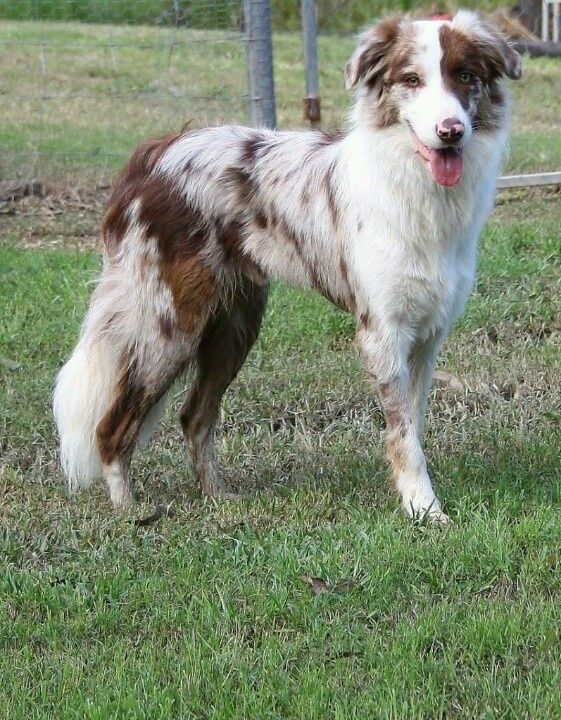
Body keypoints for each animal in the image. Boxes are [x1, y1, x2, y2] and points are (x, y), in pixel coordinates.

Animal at [53, 8, 520, 520]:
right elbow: (402, 434)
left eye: (466, 77)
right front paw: (423, 509)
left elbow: (413, 425)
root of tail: (155, 152)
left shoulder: (429, 334)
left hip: (233, 326)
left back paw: (219, 499)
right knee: (112, 426)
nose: (451, 131)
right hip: (168, 326)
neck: (420, 189)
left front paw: (419, 502)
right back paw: (130, 513)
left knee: (195, 416)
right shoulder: (383, 332)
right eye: (412, 80)